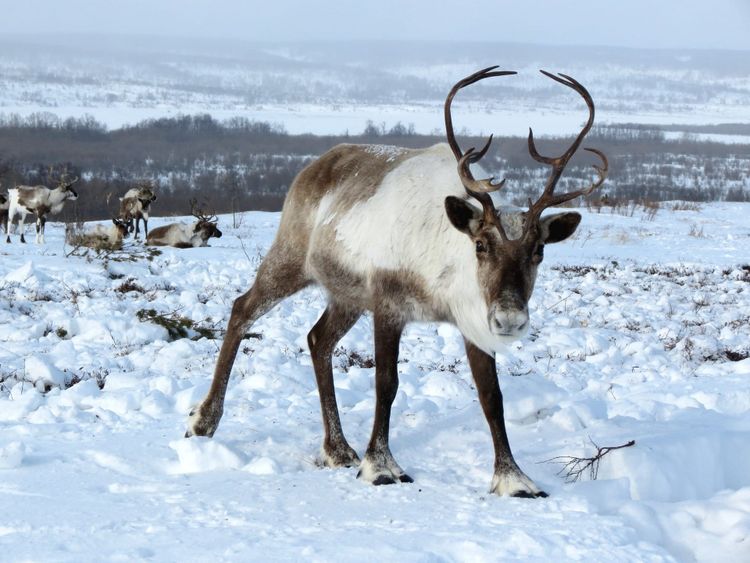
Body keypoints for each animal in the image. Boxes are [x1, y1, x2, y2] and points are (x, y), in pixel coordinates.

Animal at [185, 67, 608, 498]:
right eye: (481, 245)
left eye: (539, 249)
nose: (510, 320)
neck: (441, 277)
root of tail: (316, 165)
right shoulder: (388, 305)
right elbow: (386, 383)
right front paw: (381, 465)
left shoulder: (471, 321)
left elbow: (492, 396)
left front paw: (513, 478)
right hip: (291, 257)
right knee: (243, 308)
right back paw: (203, 420)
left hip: (348, 295)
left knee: (318, 339)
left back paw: (338, 448)